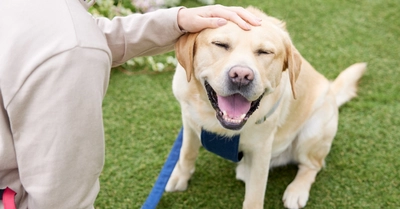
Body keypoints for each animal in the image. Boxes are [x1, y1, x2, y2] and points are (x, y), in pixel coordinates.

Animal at [165, 6, 366, 209]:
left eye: (264, 52)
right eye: (220, 44)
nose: (241, 76)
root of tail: (331, 90)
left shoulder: (261, 150)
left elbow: (254, 196)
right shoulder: (189, 122)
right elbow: (186, 153)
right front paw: (180, 176)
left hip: (313, 132)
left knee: (312, 165)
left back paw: (297, 190)